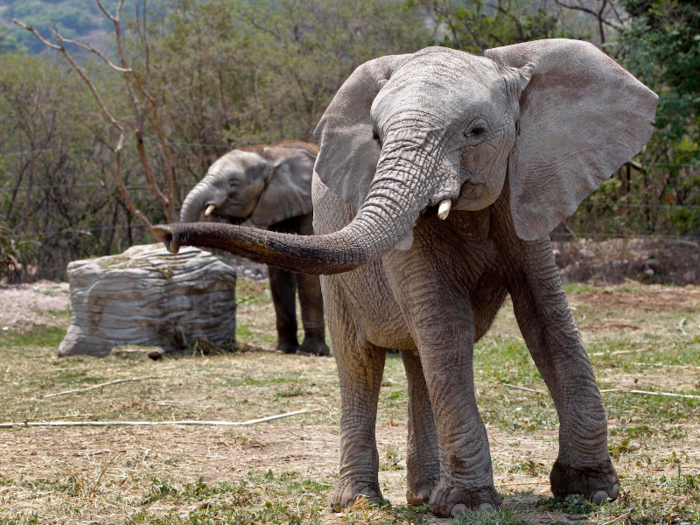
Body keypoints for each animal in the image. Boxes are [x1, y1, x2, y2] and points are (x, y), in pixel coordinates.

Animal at [182, 139, 332, 354]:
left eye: (234, 183)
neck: (272, 154)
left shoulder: (310, 205)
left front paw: (311, 352)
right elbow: (278, 270)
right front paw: (284, 349)